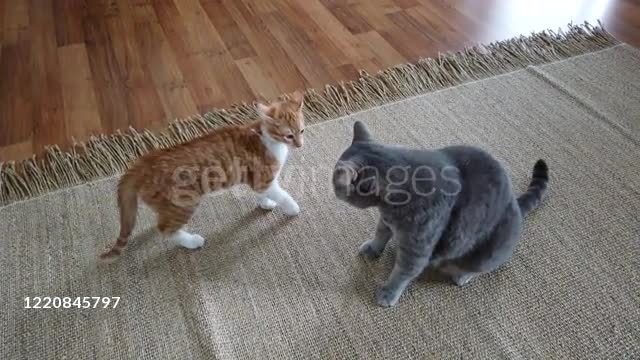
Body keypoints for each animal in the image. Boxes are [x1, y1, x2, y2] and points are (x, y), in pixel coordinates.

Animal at [101, 90, 306, 258]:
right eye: (289, 135)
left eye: (302, 131)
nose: (300, 145)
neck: (266, 138)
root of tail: (142, 162)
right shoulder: (263, 179)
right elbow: (282, 195)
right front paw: (292, 208)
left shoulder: (258, 180)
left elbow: (264, 194)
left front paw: (266, 203)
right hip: (184, 202)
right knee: (165, 229)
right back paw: (191, 241)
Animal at [332, 121, 548, 306]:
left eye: (334, 181)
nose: (332, 186)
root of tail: (515, 203)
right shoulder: (386, 220)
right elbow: (380, 234)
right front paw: (373, 248)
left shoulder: (417, 248)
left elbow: (403, 272)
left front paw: (389, 293)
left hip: (489, 252)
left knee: (481, 266)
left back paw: (462, 275)